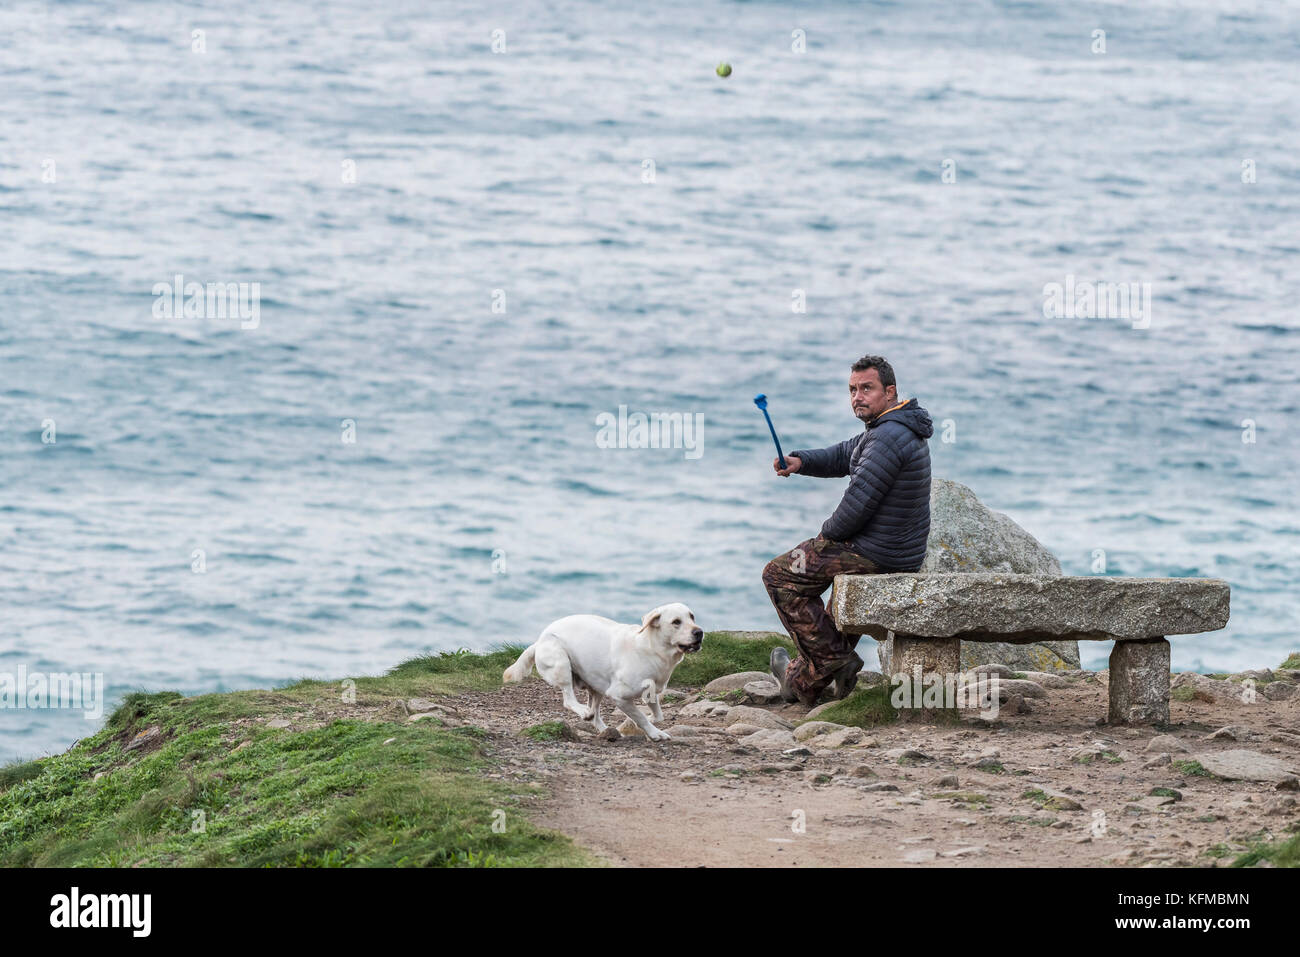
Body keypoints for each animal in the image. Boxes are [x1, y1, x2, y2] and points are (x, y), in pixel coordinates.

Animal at [499, 600, 702, 743]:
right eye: (676, 622)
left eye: (692, 616)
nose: (699, 632)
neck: (653, 650)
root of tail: (538, 642)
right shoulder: (618, 696)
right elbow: (641, 716)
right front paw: (654, 733)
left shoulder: (651, 692)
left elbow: (658, 715)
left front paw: (645, 723)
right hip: (561, 663)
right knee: (569, 700)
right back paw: (583, 712)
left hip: (596, 686)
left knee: (595, 716)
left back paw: (606, 729)